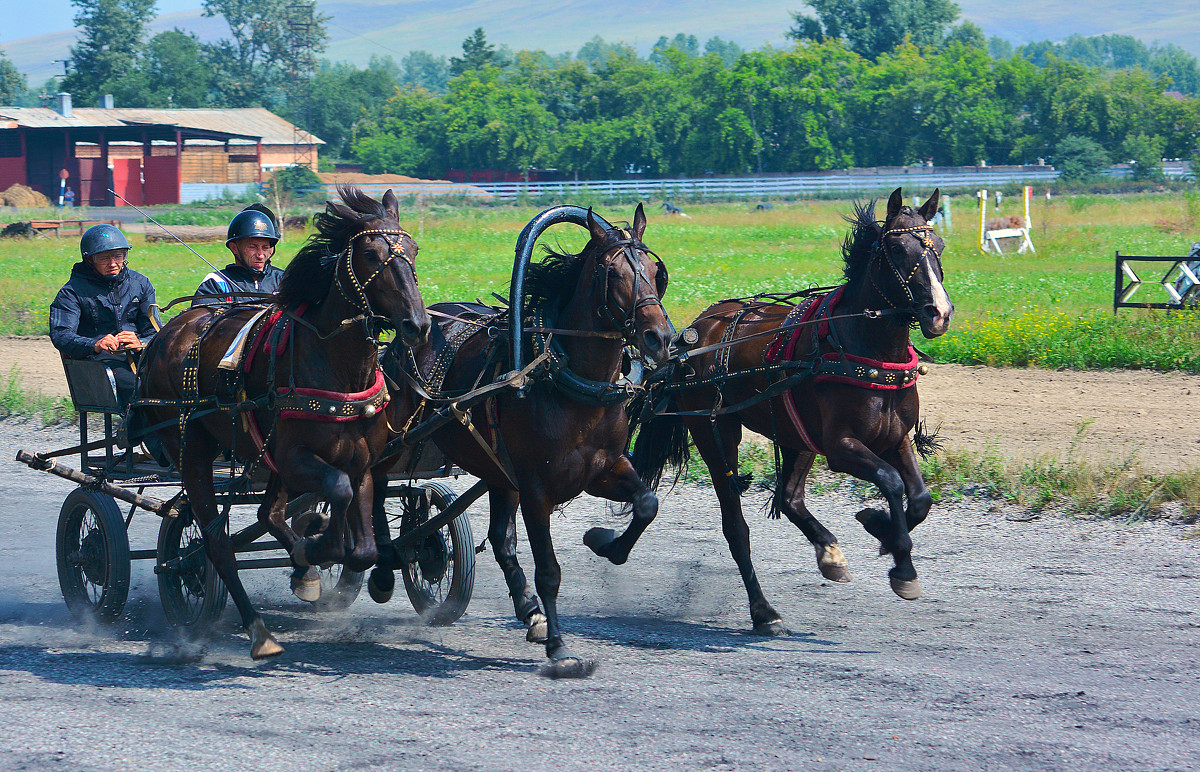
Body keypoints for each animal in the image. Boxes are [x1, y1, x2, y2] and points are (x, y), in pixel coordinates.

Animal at [138, 187, 429, 657]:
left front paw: (321, 559)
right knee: (215, 543)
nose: (417, 324)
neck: (336, 365)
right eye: (370, 253)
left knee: (268, 512)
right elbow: (337, 492)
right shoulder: (296, 459)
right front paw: (320, 542)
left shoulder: (359, 461)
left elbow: (363, 547)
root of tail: (163, 336)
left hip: (263, 453)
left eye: (414, 249)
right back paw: (258, 630)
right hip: (191, 447)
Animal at [372, 204, 672, 677]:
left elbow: (646, 504)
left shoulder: (604, 468)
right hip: (395, 442)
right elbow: (549, 569)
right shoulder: (535, 488)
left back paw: (528, 610)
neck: (565, 380)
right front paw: (560, 648)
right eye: (613, 274)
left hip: (497, 471)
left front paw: (605, 542)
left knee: (499, 538)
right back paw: (382, 567)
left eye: (656, 272)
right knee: (371, 488)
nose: (660, 338)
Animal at [628, 187, 955, 633]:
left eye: (938, 245)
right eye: (897, 249)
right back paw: (764, 610)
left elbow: (920, 498)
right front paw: (899, 559)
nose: (939, 313)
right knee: (737, 525)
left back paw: (829, 552)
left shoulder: (894, 436)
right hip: (716, 431)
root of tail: (693, 334)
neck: (862, 346)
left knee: (789, 498)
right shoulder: (841, 446)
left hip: (796, 434)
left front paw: (882, 529)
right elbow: (891, 482)